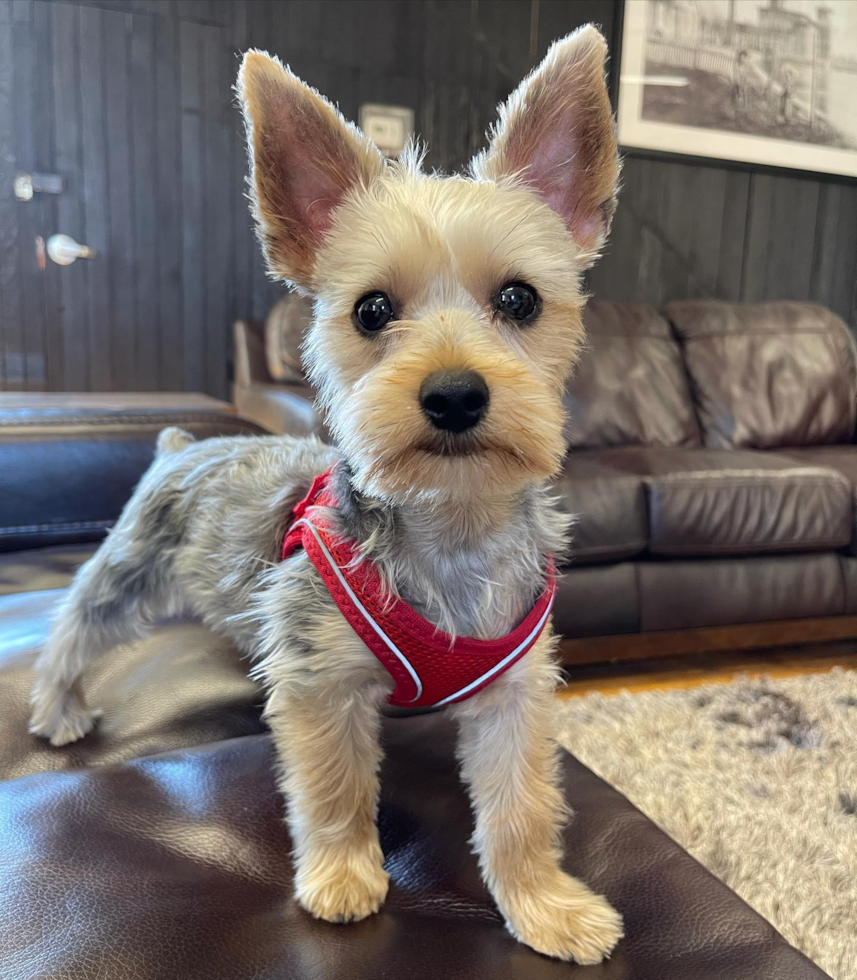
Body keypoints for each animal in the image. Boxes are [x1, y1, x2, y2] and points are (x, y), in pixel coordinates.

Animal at [28, 23, 620, 964]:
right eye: (372, 310)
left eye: (519, 298)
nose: (455, 394)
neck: (447, 522)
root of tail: (185, 443)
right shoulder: (321, 685)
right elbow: (334, 785)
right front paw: (344, 879)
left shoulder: (514, 694)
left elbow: (521, 806)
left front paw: (544, 905)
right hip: (131, 561)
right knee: (77, 622)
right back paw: (57, 708)